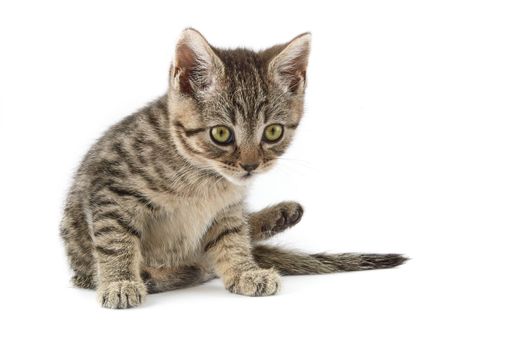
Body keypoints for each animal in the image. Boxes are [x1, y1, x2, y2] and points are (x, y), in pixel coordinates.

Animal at [61, 28, 406, 308]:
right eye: (221, 134)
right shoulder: (111, 189)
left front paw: (244, 272)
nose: (250, 165)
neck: (204, 176)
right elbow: (115, 241)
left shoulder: (228, 207)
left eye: (273, 132)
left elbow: (233, 238)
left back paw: (281, 214)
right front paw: (120, 282)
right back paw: (154, 275)